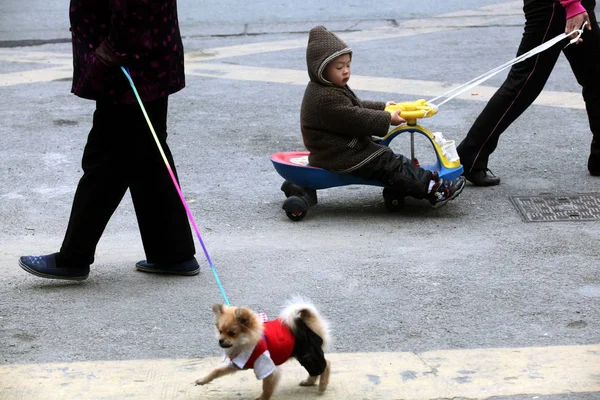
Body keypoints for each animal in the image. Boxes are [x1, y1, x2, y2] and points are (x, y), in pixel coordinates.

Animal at [196, 296, 328, 400]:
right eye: (220, 331)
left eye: (232, 333)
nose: (220, 340)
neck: (246, 344)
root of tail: (305, 320)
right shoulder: (237, 364)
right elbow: (217, 370)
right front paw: (203, 380)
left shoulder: (268, 368)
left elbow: (266, 388)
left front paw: (262, 398)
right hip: (302, 355)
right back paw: (309, 382)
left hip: (308, 353)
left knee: (327, 365)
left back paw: (322, 386)